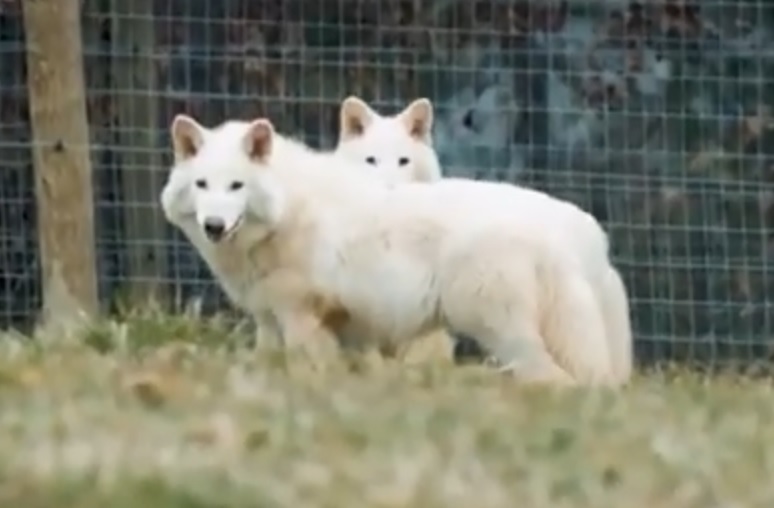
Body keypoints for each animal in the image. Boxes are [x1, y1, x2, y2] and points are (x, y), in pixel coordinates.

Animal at [160, 113, 620, 386]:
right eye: (202, 185)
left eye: (236, 186)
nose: (214, 226)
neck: (288, 209)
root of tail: (574, 230)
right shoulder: (270, 322)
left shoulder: (303, 320)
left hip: (500, 332)